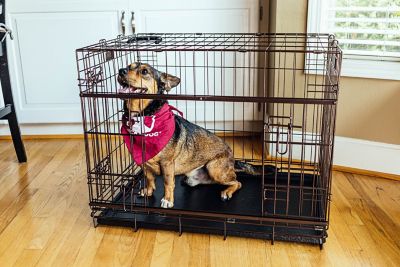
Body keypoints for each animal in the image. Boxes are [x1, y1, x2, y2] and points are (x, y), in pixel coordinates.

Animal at [117, 62, 244, 209]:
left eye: (144, 71)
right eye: (128, 66)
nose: (121, 71)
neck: (143, 116)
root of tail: (233, 161)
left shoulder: (167, 163)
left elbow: (168, 183)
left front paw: (167, 200)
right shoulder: (144, 161)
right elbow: (149, 178)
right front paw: (148, 191)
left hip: (214, 168)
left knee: (237, 182)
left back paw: (227, 192)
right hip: (196, 177)